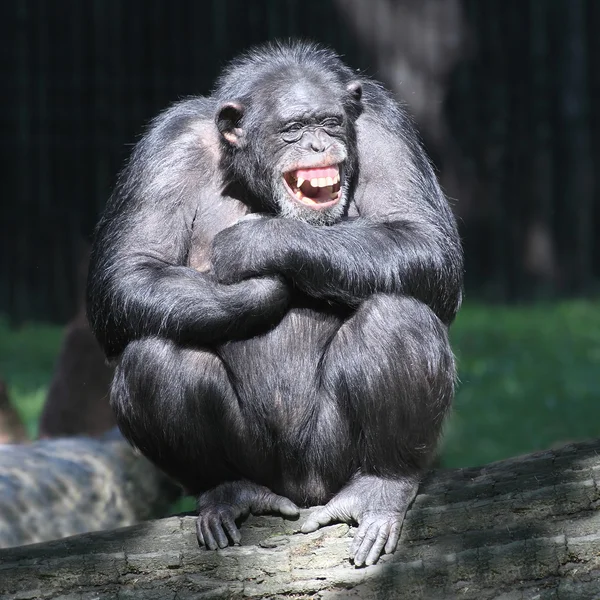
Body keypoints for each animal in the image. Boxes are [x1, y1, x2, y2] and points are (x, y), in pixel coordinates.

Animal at [86, 42, 464, 568]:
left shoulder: (384, 126)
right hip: (259, 461)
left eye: (330, 123)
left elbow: (423, 237)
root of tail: (300, 489)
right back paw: (227, 491)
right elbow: (128, 271)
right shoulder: (166, 147)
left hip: (330, 460)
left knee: (398, 317)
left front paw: (256, 244)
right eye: (292, 129)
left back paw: (380, 486)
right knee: (154, 355)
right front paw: (258, 289)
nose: (318, 146)